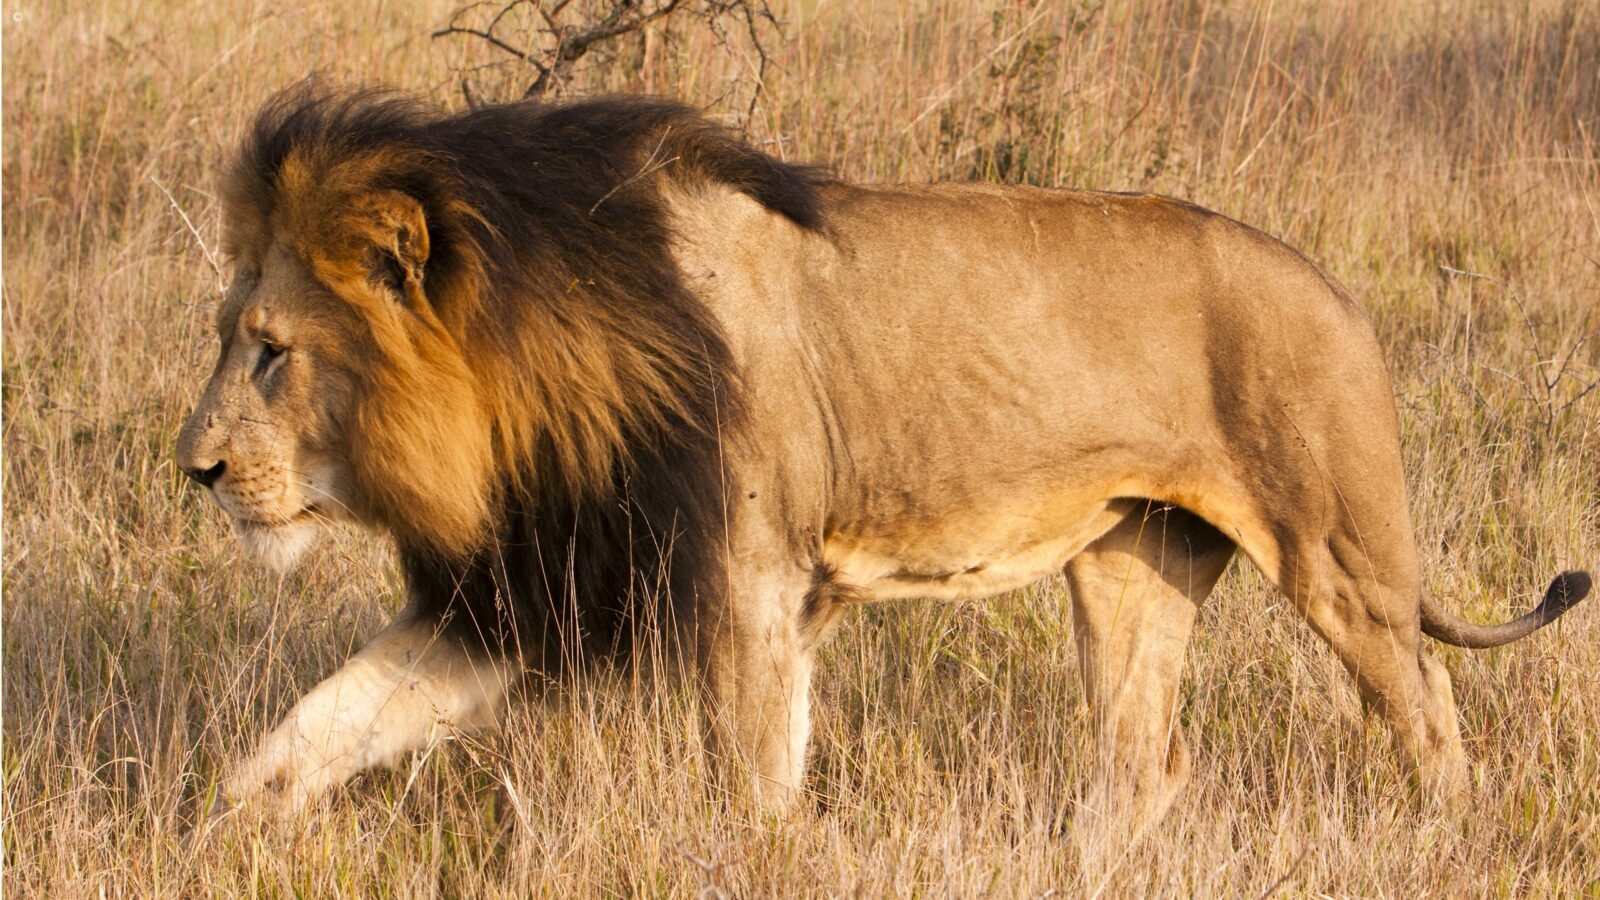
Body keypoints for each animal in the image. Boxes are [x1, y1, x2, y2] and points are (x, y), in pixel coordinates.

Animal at [176, 83, 1591, 820]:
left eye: (270, 351)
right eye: (235, 337)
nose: (193, 469)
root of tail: (1337, 291)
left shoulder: (746, 588)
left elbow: (753, 787)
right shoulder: (523, 589)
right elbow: (313, 728)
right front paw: (214, 833)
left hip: (1336, 549)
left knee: (1430, 707)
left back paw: (1444, 832)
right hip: (1131, 566)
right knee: (1147, 762)